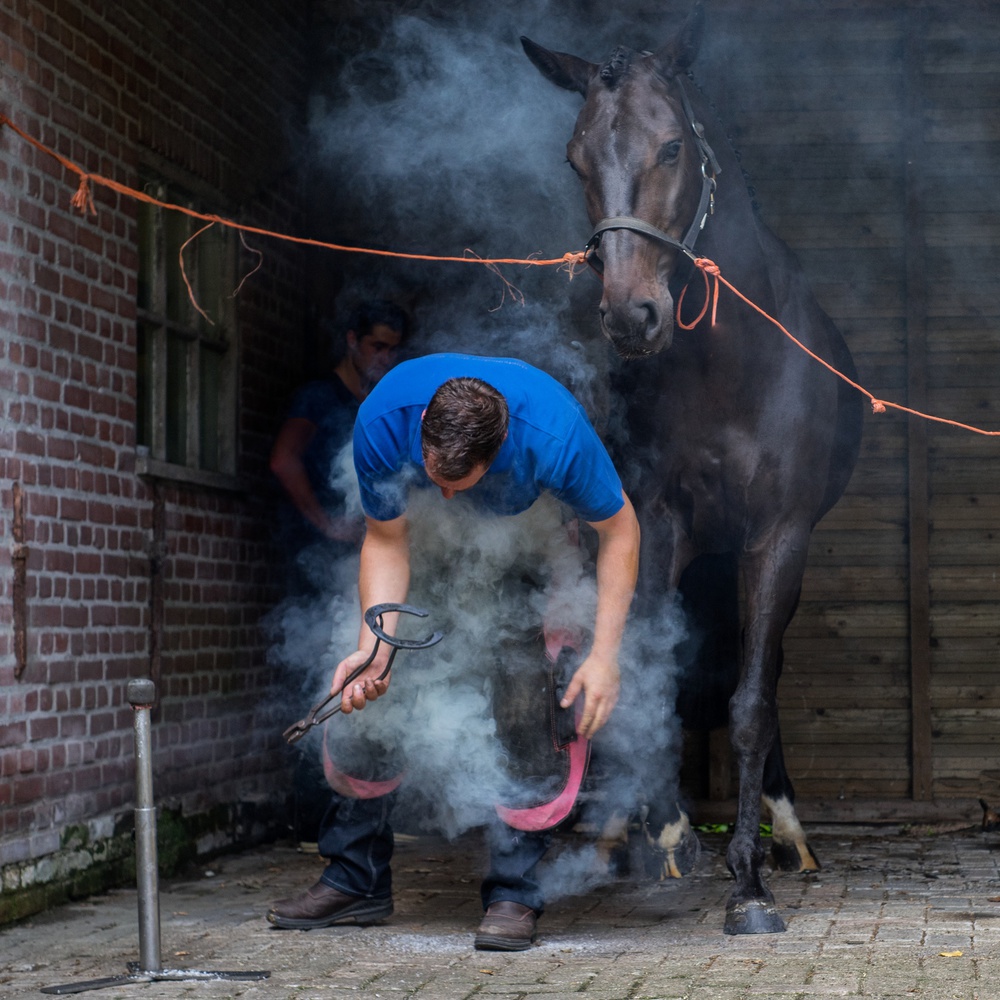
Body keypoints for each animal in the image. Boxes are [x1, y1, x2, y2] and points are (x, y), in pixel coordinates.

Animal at [524, 3, 860, 932]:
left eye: (671, 145)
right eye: (575, 158)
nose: (631, 315)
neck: (727, 364)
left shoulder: (779, 533)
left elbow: (750, 701)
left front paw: (748, 881)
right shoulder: (660, 521)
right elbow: (651, 677)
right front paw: (667, 838)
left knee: (762, 673)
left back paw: (786, 833)